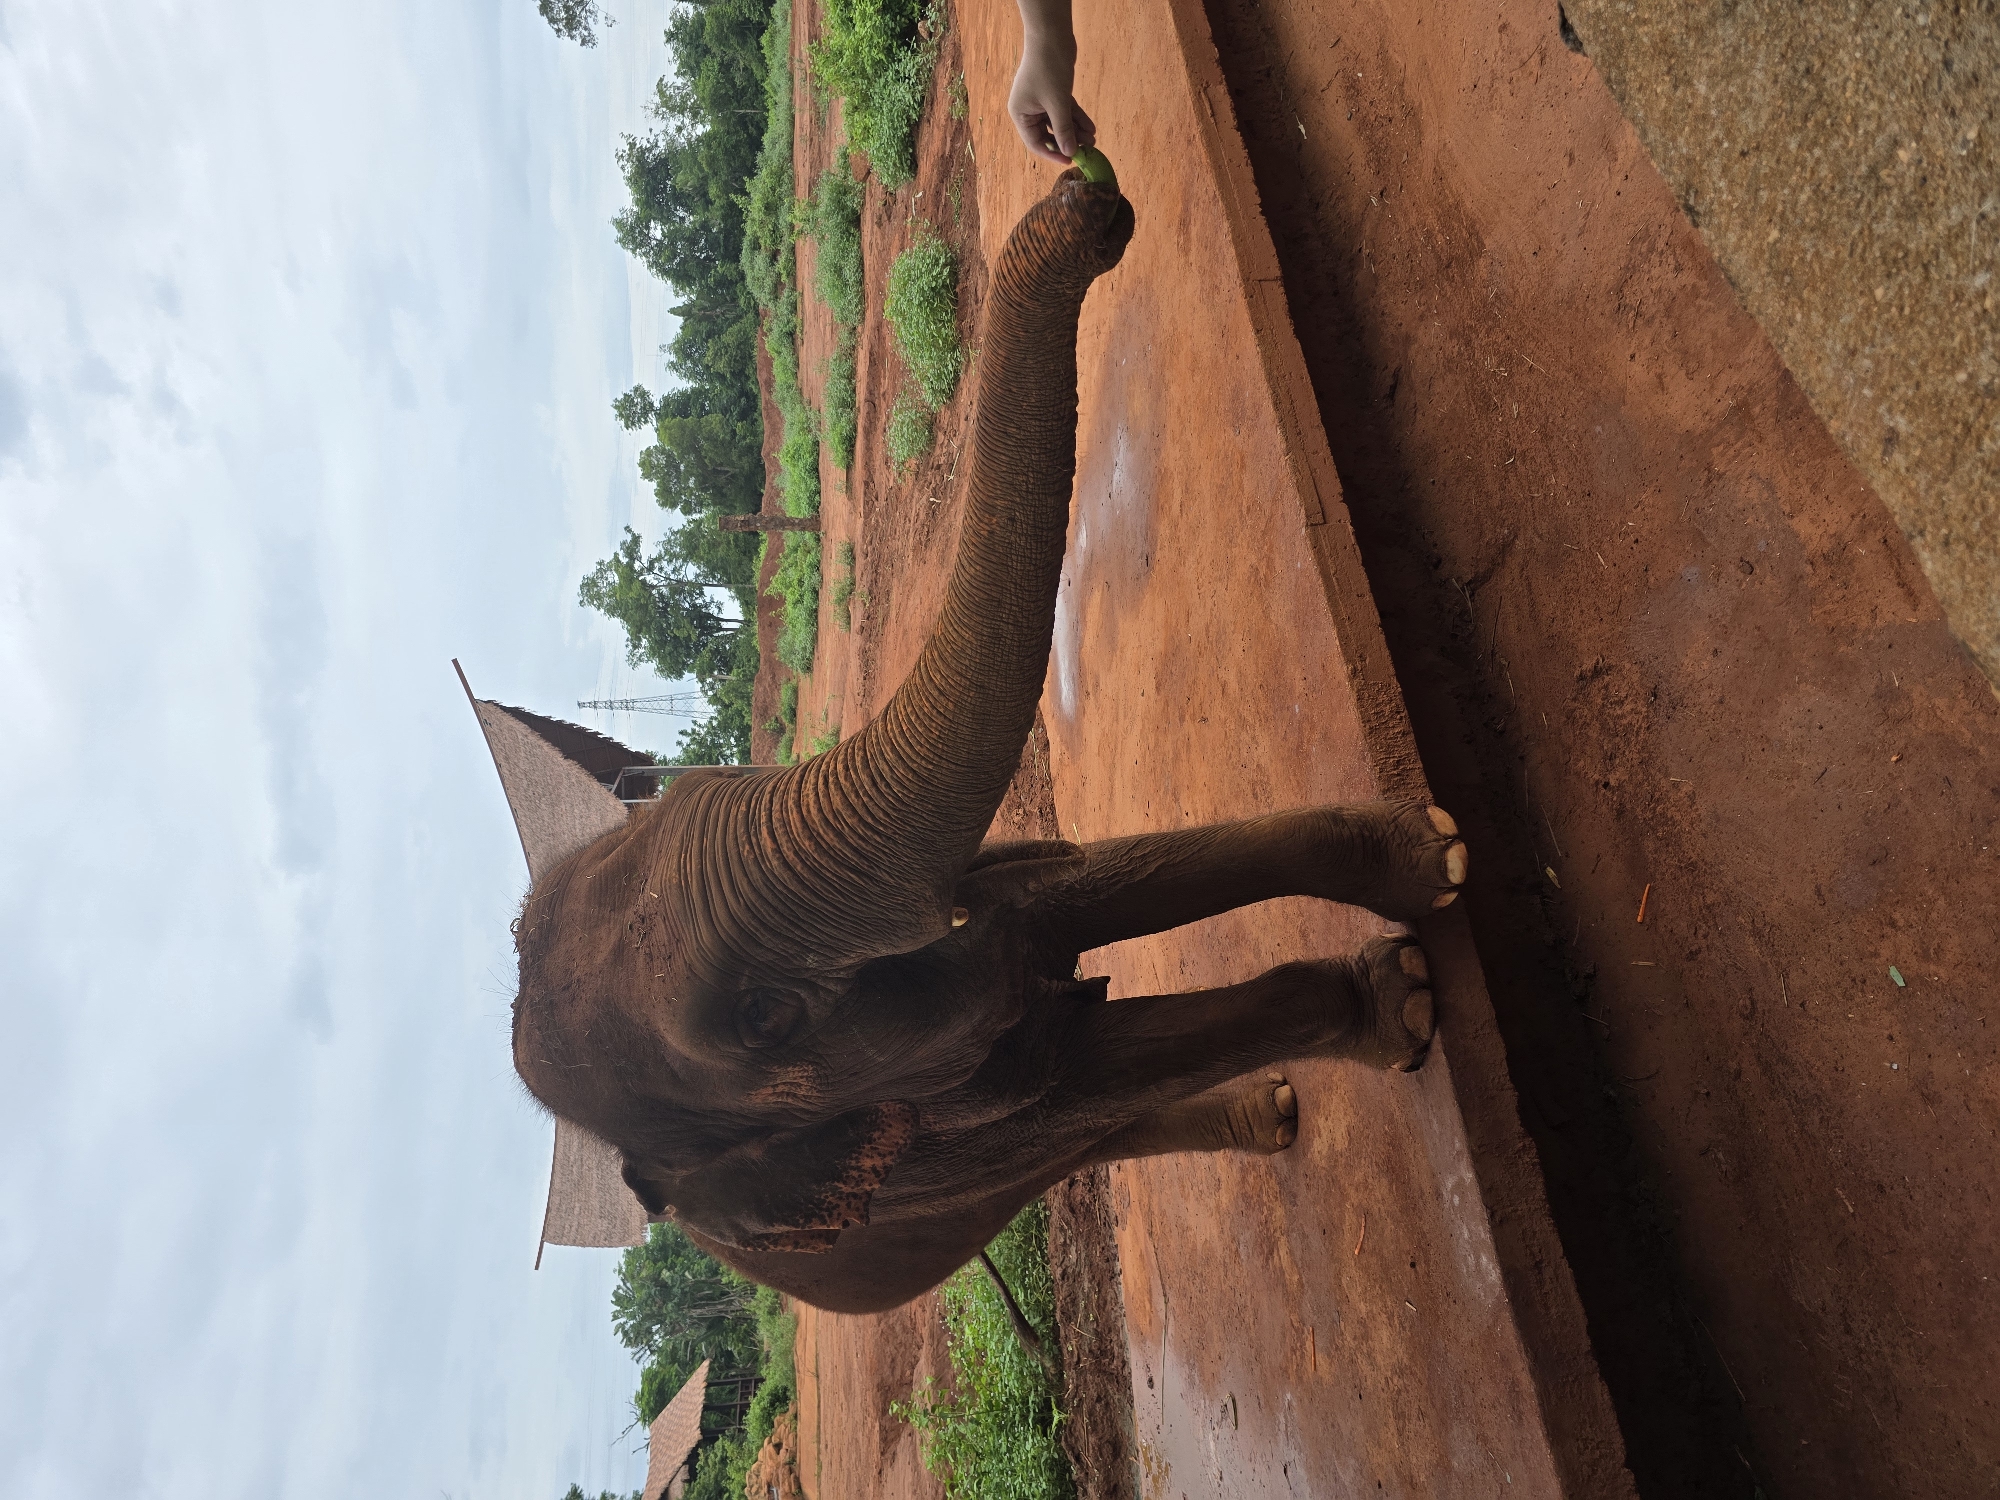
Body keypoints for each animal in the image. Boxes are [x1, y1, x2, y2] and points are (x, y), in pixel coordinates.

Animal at [511, 171, 1468, 1314]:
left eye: (711, 783)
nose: (1089, 200)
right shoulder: (918, 1122)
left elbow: (1080, 892)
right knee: (1094, 1133)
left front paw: (1432, 858)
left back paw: (1276, 1110)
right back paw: (1274, 1112)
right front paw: (1401, 1003)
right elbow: (1087, 1061)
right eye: (762, 1019)